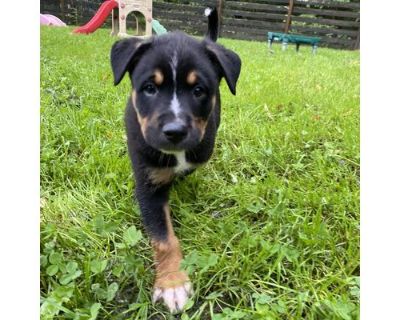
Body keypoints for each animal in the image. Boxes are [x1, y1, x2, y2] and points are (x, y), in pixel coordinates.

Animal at [109, 7, 241, 312]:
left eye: (198, 90)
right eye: (149, 88)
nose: (175, 131)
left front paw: (172, 283)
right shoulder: (148, 186)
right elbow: (163, 239)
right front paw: (172, 283)